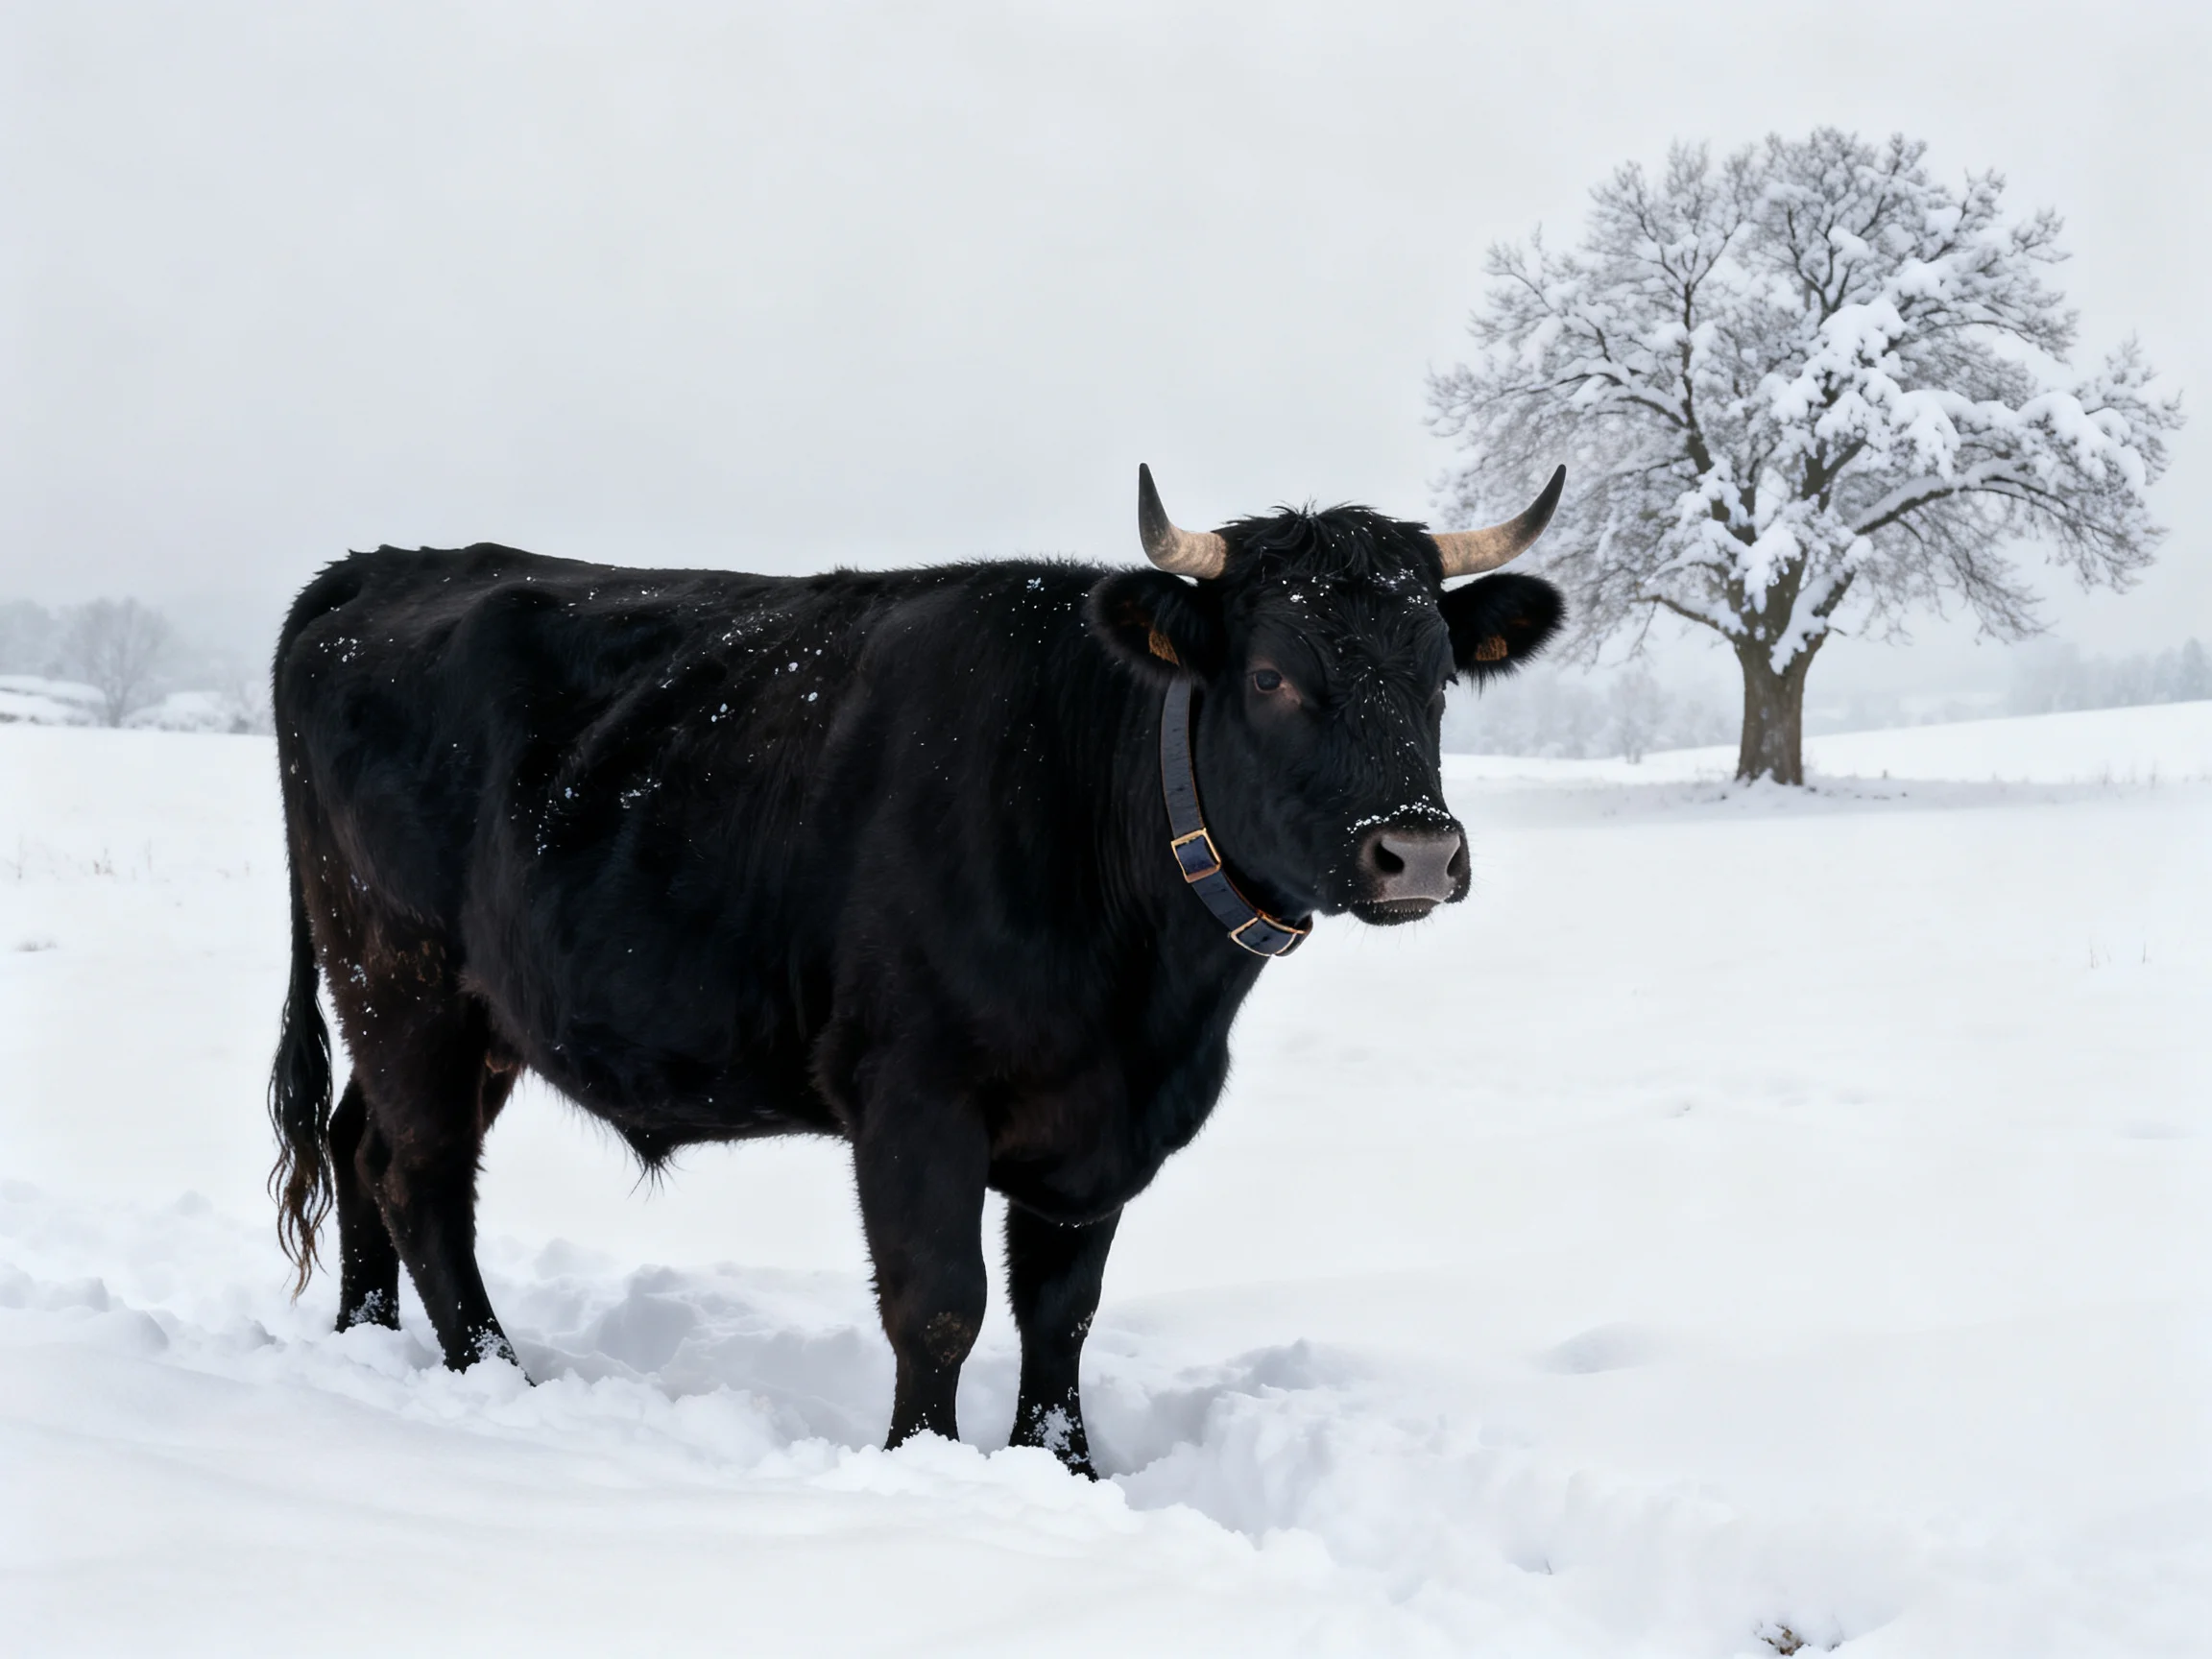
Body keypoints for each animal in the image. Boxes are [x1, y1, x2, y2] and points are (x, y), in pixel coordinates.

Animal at [267, 464, 1565, 1474]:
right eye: (1270, 676)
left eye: (1438, 675)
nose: (1416, 849)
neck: (1152, 1004)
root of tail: (377, 569)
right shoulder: (913, 1092)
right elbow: (940, 1304)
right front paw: (924, 1468)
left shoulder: (1095, 1129)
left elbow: (1061, 1313)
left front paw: (1065, 1474)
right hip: (405, 981)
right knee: (418, 1174)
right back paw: (493, 1377)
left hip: (462, 1014)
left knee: (358, 1144)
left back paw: (365, 1340)